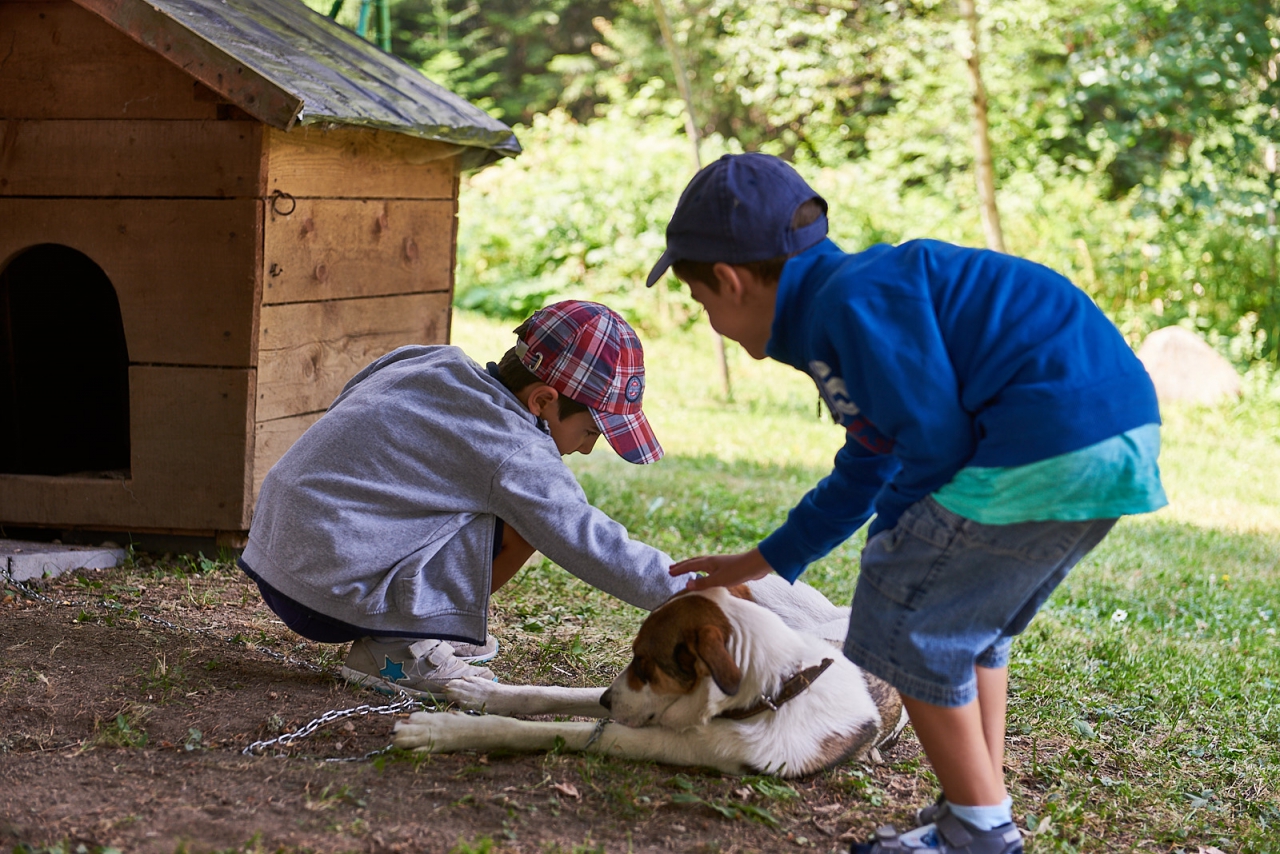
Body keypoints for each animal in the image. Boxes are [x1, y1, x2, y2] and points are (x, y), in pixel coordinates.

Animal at [394, 573, 906, 783]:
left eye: (645, 662)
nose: (606, 704)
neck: (779, 688)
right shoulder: (636, 702)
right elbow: (553, 693)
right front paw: (483, 692)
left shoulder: (668, 738)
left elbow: (541, 730)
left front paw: (439, 730)